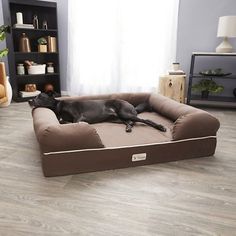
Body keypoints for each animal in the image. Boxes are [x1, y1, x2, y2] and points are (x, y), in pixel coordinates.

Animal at [29, 92, 166, 133]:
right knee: (130, 122)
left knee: (145, 120)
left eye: (40, 96)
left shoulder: (78, 117)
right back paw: (128, 127)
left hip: (124, 112)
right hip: (117, 118)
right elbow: (62, 121)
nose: (29, 100)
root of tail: (132, 106)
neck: (58, 106)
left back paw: (160, 127)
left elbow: (71, 122)